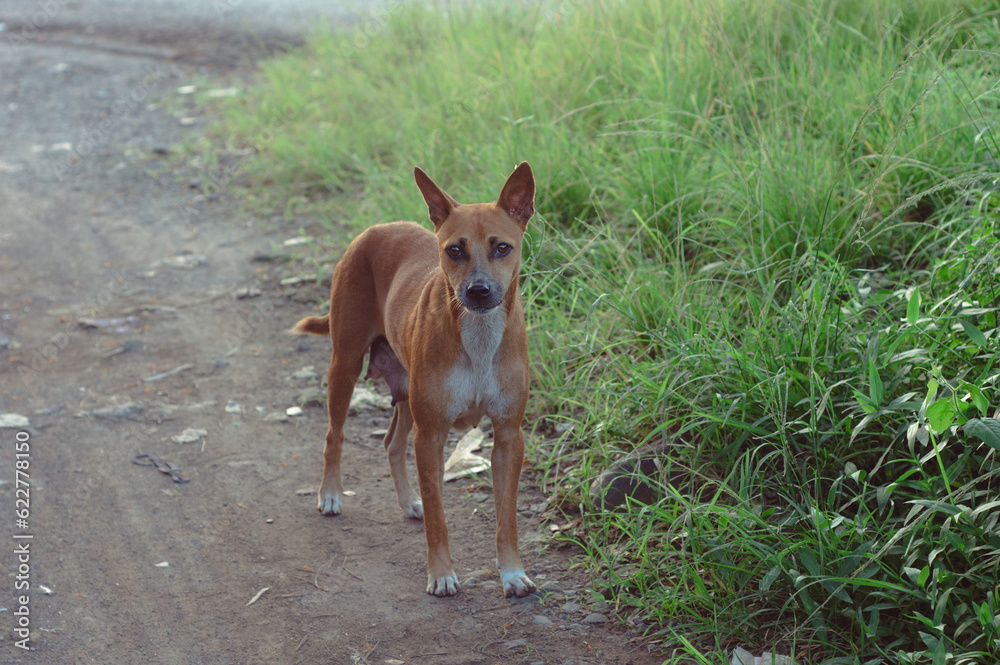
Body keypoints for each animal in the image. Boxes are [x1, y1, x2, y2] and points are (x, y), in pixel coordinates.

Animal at [292, 161, 536, 596]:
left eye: (502, 247)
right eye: (454, 250)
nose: (478, 291)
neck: (478, 336)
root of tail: (375, 228)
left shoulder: (509, 435)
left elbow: (506, 517)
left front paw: (511, 574)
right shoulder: (431, 436)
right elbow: (439, 517)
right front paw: (440, 574)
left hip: (406, 391)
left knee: (392, 443)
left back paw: (408, 502)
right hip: (345, 366)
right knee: (334, 435)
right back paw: (331, 495)